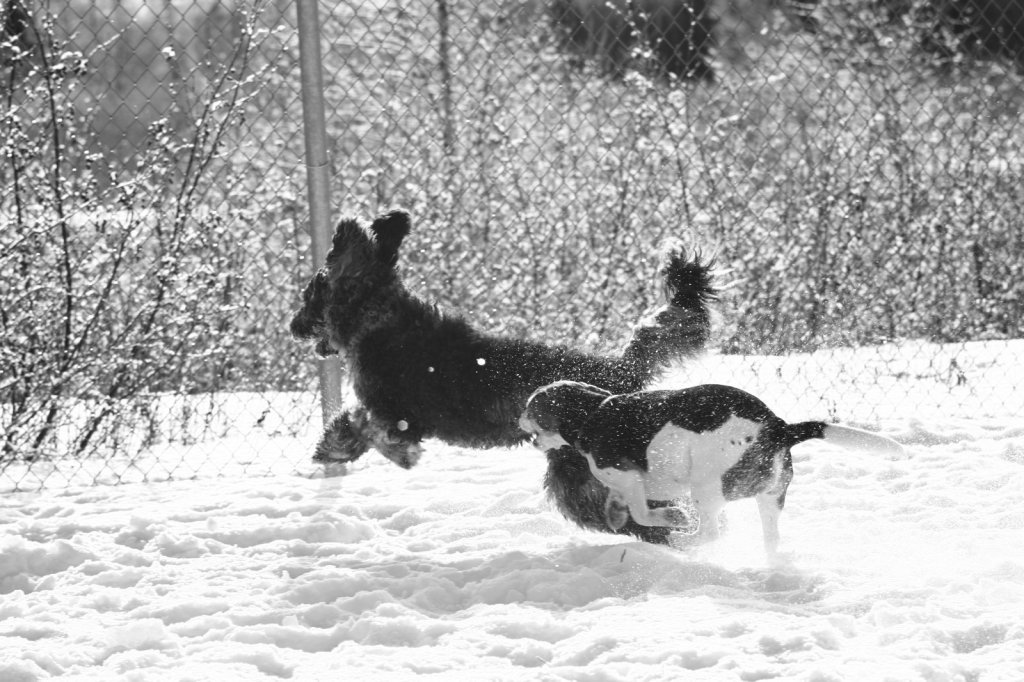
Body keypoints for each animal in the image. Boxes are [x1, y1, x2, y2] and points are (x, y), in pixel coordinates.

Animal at [290, 209, 717, 544]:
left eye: (310, 294)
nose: (293, 326)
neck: (379, 319)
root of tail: (621, 371)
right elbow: (354, 423)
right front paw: (333, 447)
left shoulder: (399, 416)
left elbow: (372, 428)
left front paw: (387, 454)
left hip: (581, 473)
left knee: (627, 510)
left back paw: (673, 532)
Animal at [520, 381, 904, 556]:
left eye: (531, 407)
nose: (518, 419)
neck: (593, 411)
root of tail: (779, 427)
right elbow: (620, 505)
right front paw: (617, 515)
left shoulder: (628, 477)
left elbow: (643, 512)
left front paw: (673, 519)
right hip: (771, 497)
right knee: (771, 537)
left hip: (706, 486)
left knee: (710, 533)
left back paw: (682, 539)